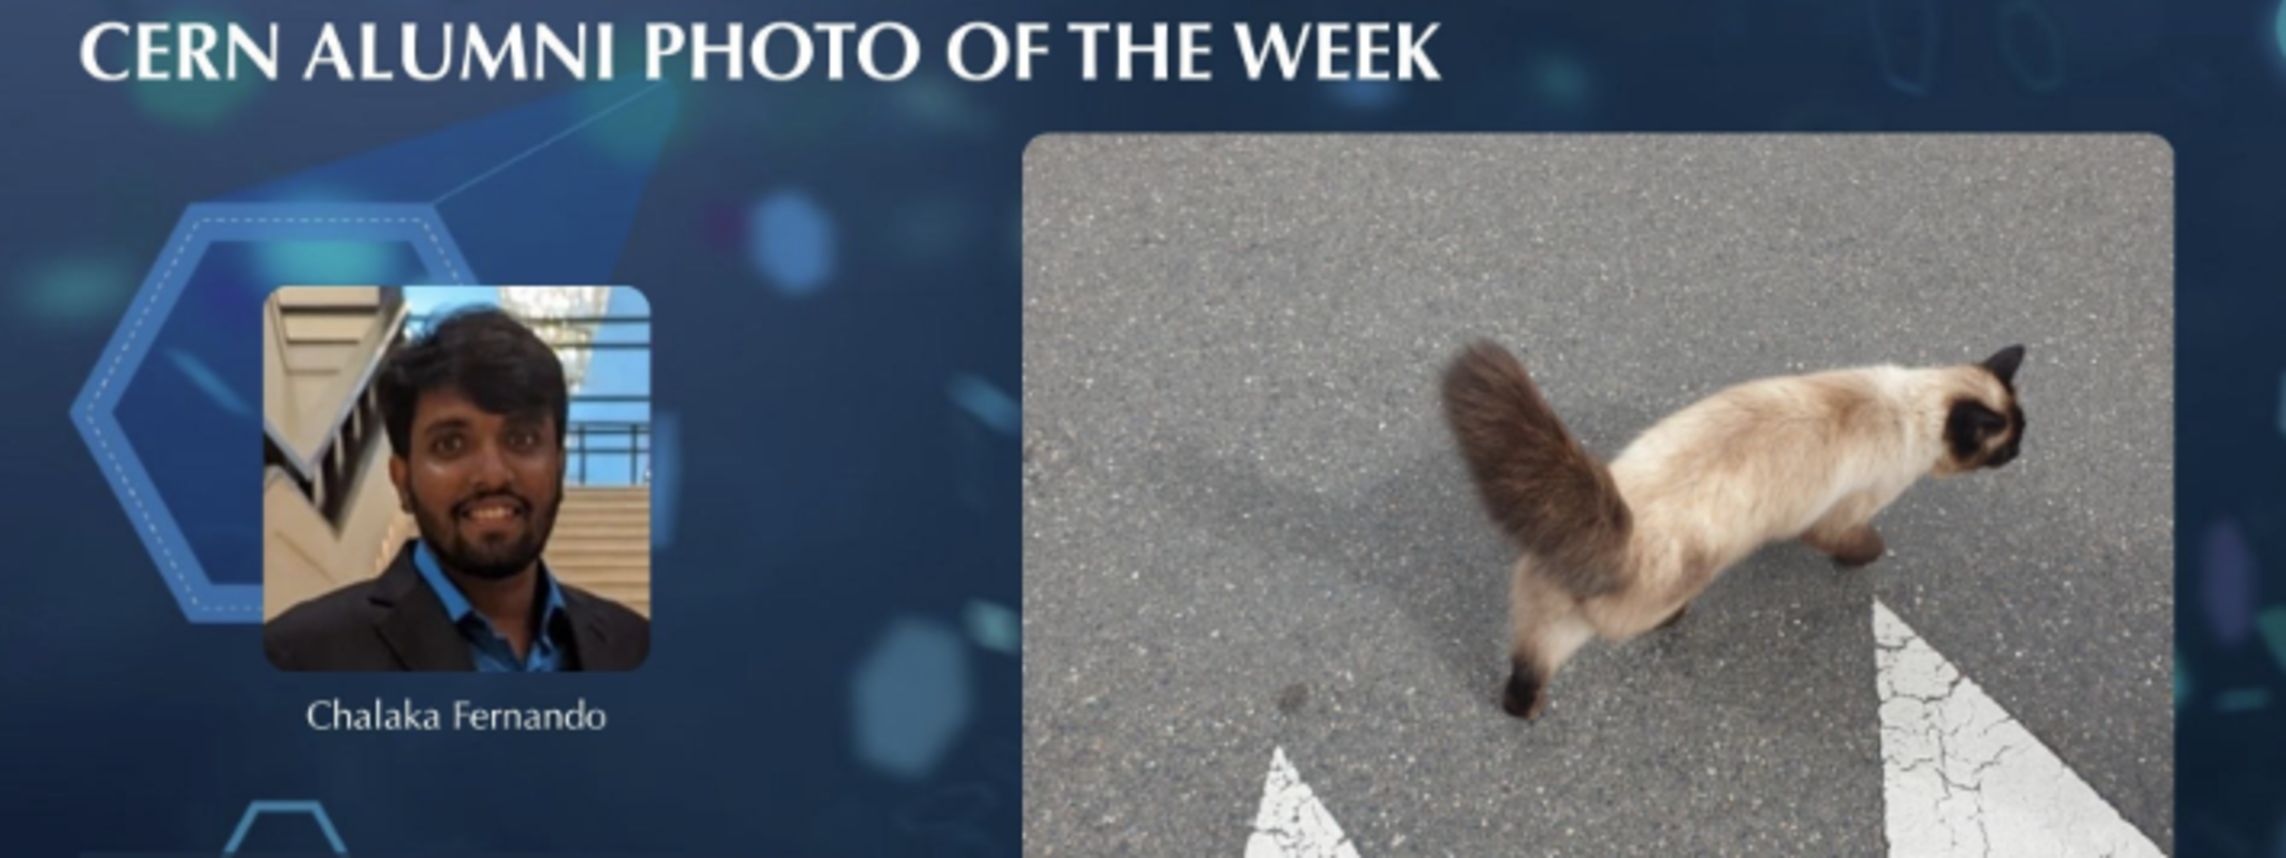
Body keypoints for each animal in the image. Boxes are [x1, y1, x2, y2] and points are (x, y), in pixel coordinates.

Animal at [1440, 340, 2025, 720]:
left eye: (2022, 430)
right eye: (2009, 440)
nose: (2020, 453)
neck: (1908, 406)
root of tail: (1617, 533)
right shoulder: (1841, 515)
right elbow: (1857, 543)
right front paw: (1871, 554)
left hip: (1544, 621)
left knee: (1523, 672)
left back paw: (1526, 710)